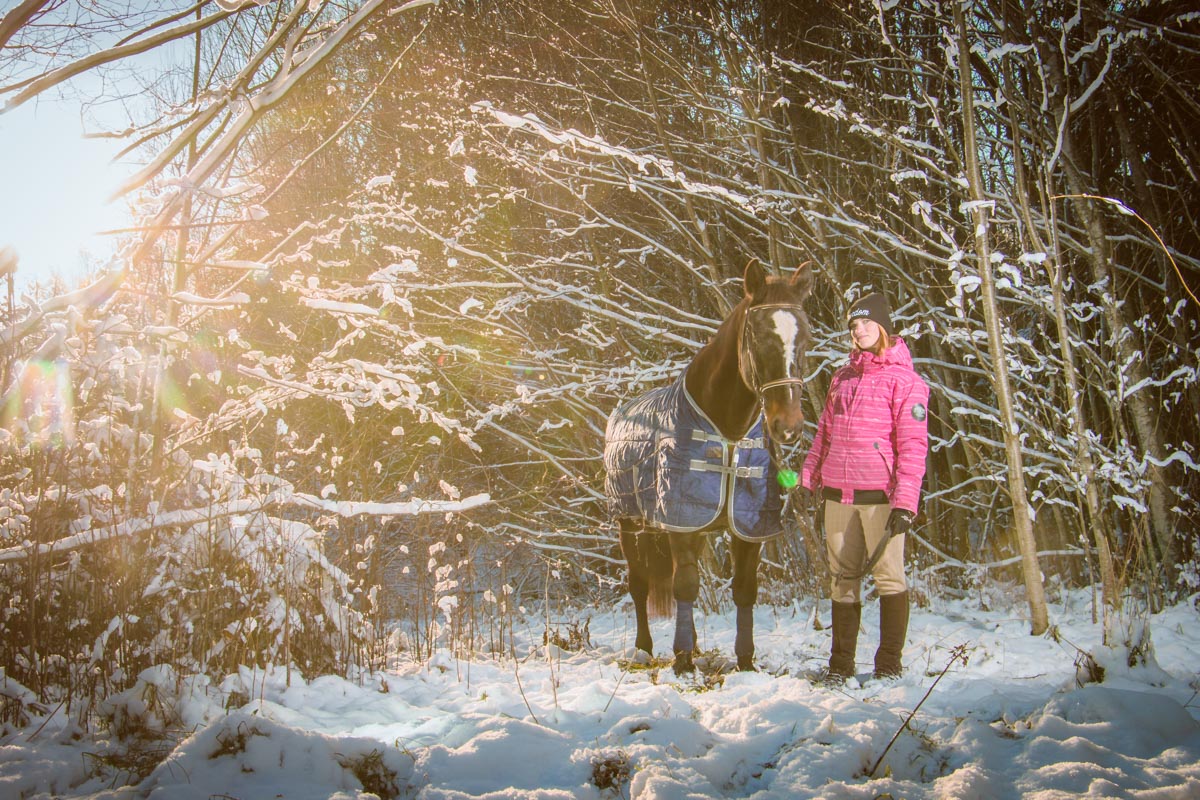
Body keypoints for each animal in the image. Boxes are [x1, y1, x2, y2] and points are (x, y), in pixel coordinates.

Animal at [604, 262, 811, 676]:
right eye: (758, 337)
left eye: (805, 337)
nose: (789, 426)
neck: (726, 431)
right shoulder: (680, 524)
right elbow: (685, 586)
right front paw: (683, 660)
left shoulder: (746, 528)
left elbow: (744, 590)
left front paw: (745, 660)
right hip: (629, 523)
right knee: (640, 585)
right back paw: (645, 648)